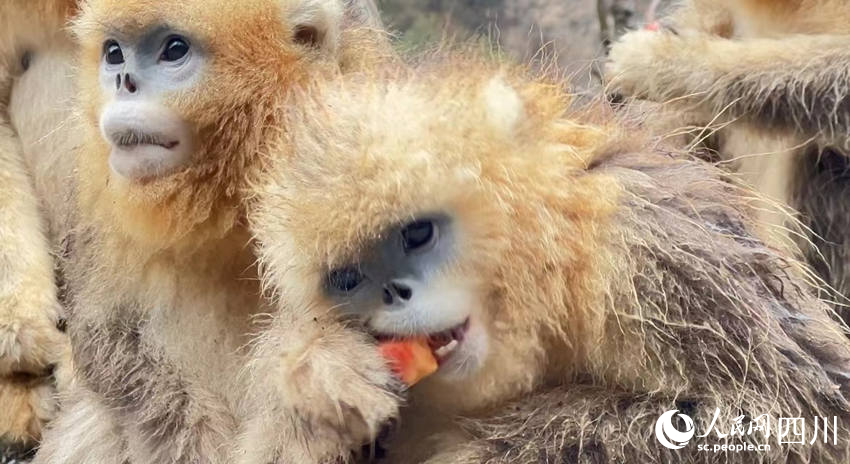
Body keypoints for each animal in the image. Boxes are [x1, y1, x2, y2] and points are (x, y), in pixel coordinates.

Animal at [248, 57, 850, 463]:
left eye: (417, 233)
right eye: (349, 278)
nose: (394, 293)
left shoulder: (653, 251)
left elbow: (803, 420)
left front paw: (486, 448)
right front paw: (318, 372)